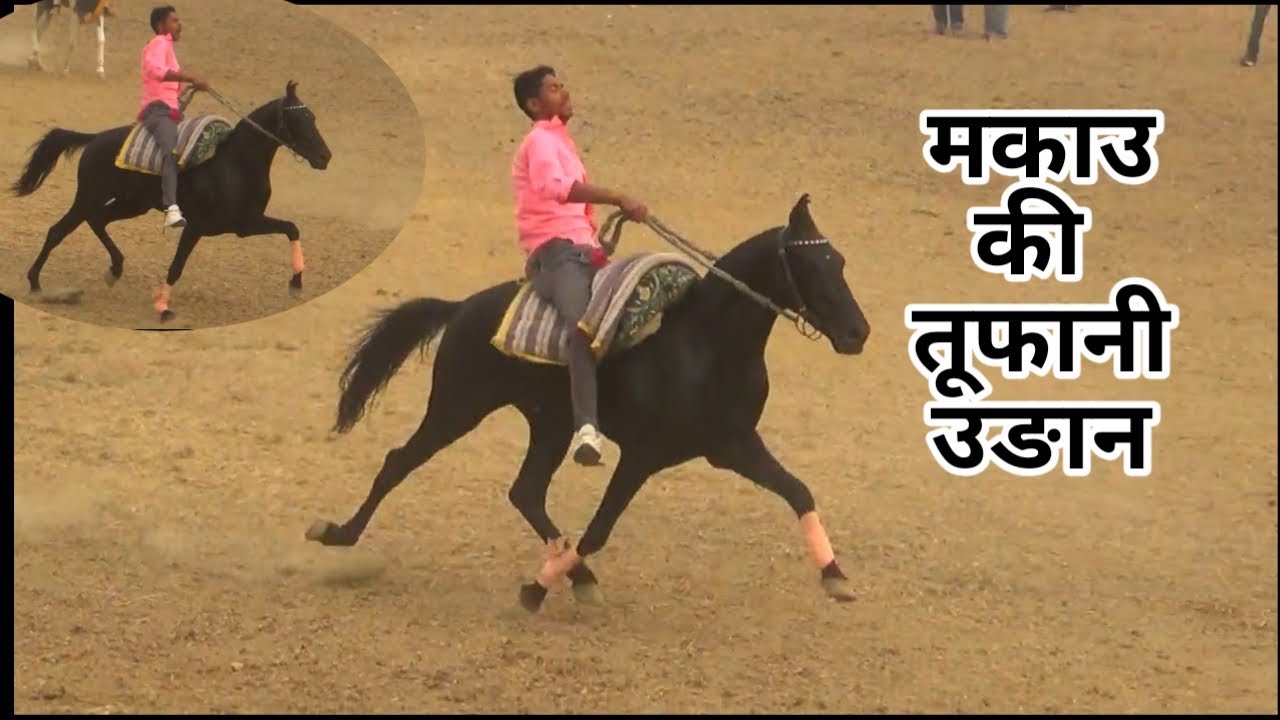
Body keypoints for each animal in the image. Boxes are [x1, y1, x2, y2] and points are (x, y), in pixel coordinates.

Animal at [10, 81, 333, 323]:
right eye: (298, 119)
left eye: (314, 118)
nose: (325, 156)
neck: (234, 164)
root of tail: (95, 139)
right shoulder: (196, 227)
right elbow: (176, 267)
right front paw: (164, 309)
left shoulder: (246, 223)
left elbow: (291, 228)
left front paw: (296, 283)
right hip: (89, 196)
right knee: (58, 230)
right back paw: (36, 282)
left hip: (131, 204)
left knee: (98, 220)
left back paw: (115, 270)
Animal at [305, 194, 873, 612]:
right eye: (808, 262)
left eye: (840, 261)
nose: (857, 332)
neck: (704, 344)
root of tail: (462, 307)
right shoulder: (642, 457)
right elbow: (599, 530)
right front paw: (535, 589)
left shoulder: (733, 445)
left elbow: (798, 491)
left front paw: (836, 576)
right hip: (457, 407)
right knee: (399, 462)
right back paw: (337, 533)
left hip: (549, 426)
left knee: (526, 492)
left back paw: (577, 577)